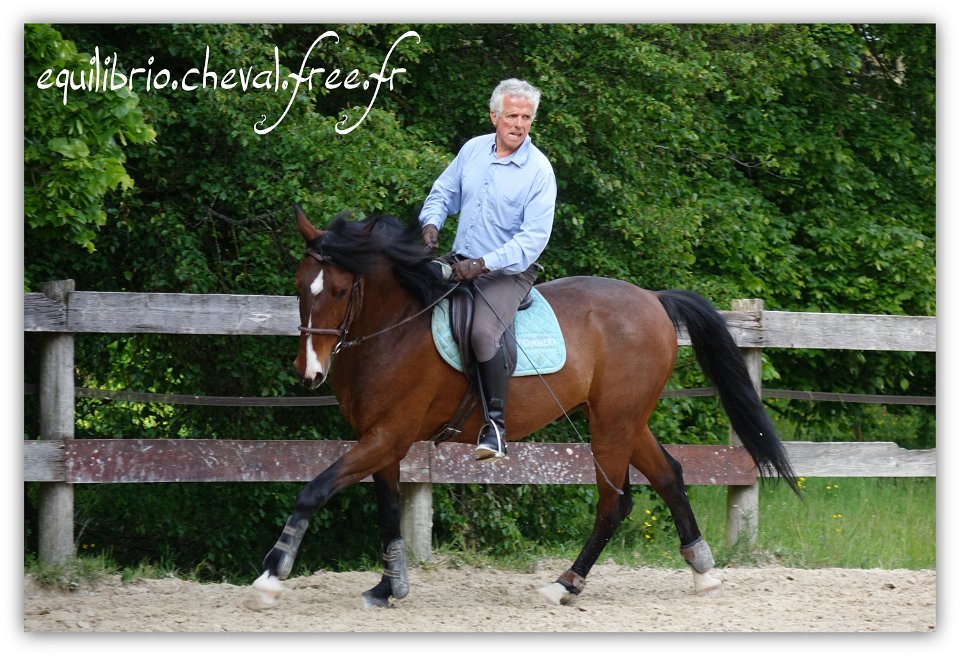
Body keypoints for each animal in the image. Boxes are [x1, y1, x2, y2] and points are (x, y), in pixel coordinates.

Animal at [244, 206, 800, 608]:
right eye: (300, 286)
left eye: (340, 290)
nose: (309, 372)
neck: (395, 329)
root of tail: (653, 300)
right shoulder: (381, 441)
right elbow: (388, 513)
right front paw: (389, 587)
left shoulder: (388, 436)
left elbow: (314, 490)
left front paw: (271, 576)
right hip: (623, 419)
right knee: (669, 476)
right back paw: (702, 573)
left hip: (612, 424)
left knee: (614, 501)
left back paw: (565, 584)